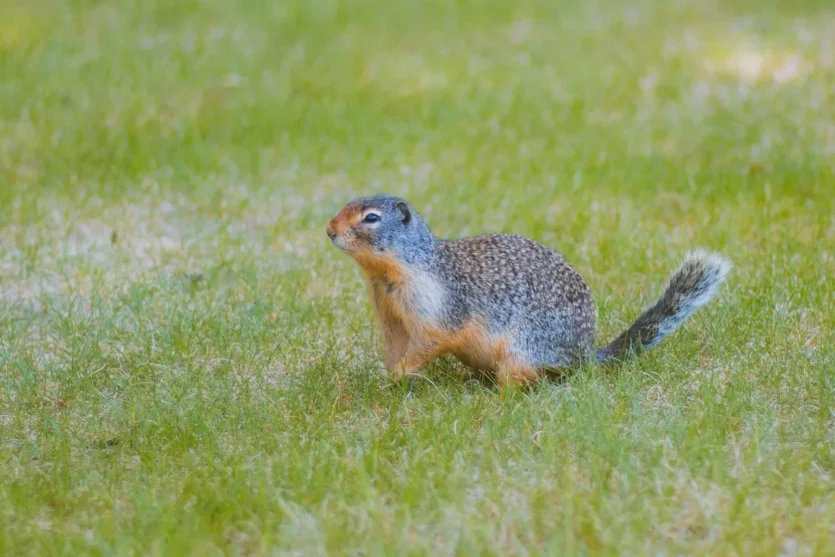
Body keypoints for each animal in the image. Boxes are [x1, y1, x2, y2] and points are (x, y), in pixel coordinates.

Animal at [326, 194, 732, 386]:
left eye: (371, 218)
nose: (329, 230)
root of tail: (585, 353)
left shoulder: (436, 306)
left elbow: (431, 339)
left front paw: (403, 372)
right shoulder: (391, 316)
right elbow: (395, 346)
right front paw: (392, 376)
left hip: (522, 350)